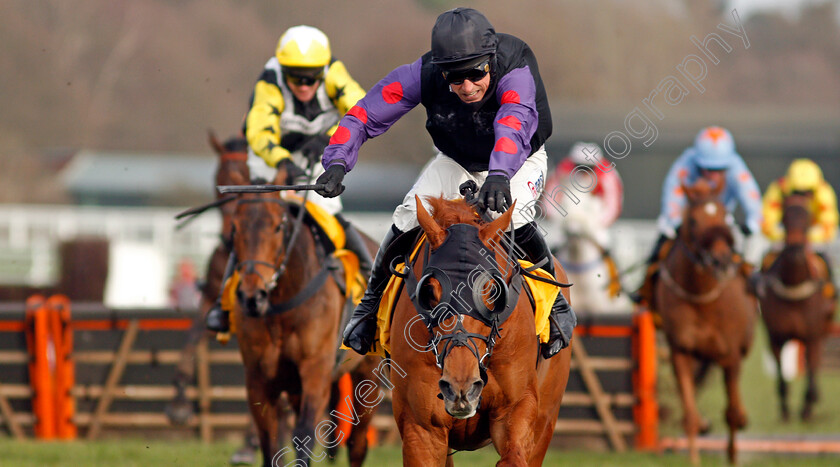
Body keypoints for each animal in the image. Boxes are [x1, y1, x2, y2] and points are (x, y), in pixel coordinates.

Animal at [228, 174, 376, 466]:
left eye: (278, 226)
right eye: (235, 227)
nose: (252, 296)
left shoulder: (315, 371)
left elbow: (305, 434)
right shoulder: (258, 379)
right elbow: (270, 441)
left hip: (368, 375)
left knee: (357, 443)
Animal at [390, 196, 576, 466]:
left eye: (491, 289)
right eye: (430, 291)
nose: (461, 387)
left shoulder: (517, 409)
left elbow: (513, 457)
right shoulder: (421, 428)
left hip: (546, 420)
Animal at [656, 178, 760, 464]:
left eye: (725, 215)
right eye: (692, 220)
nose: (721, 259)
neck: (703, 299)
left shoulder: (731, 354)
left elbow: (732, 413)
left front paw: (733, 455)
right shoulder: (681, 351)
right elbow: (689, 414)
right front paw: (694, 458)